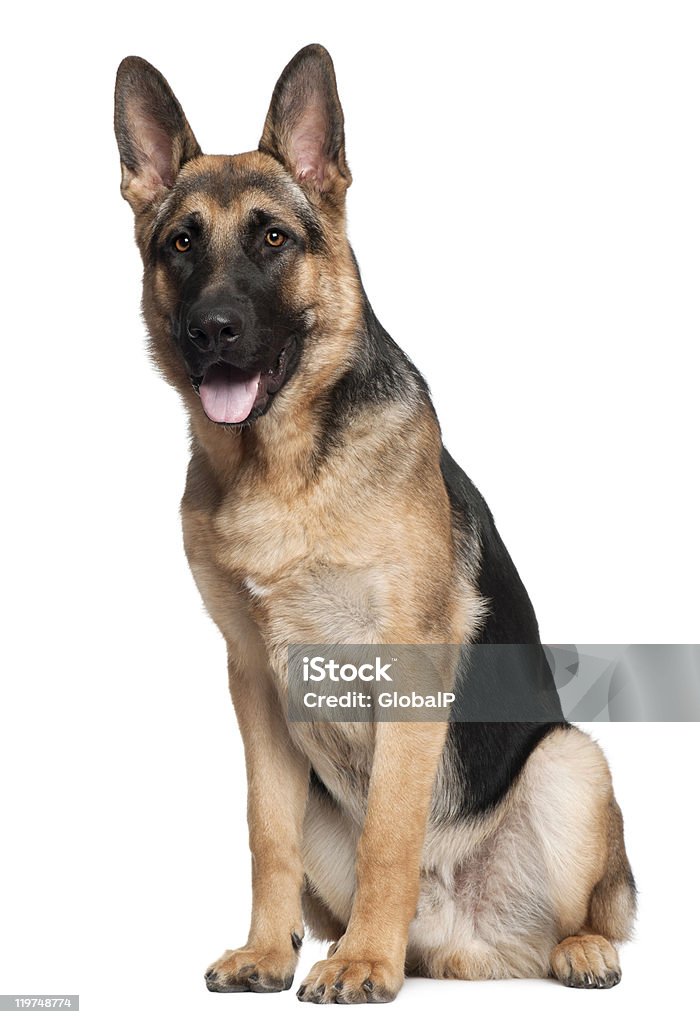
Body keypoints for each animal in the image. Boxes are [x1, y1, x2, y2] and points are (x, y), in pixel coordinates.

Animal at [113, 46, 634, 999]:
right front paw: (265, 949)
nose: (213, 329)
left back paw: (565, 949)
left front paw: (363, 963)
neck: (282, 470)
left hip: (572, 761)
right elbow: (266, 834)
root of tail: (464, 938)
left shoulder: (406, 664)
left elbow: (391, 829)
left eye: (273, 239)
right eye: (181, 243)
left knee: (592, 911)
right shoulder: (253, 683)